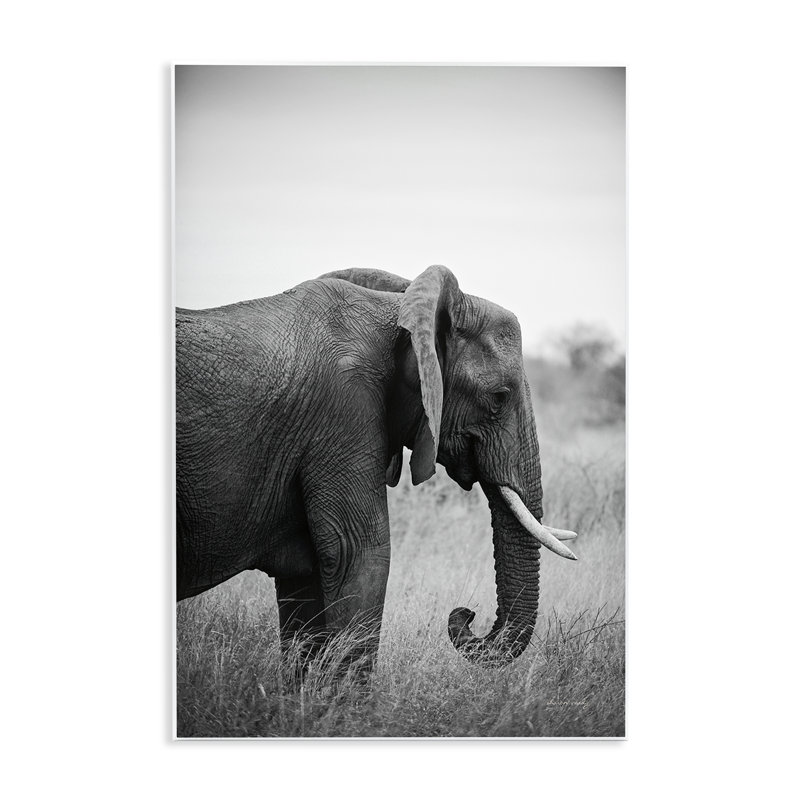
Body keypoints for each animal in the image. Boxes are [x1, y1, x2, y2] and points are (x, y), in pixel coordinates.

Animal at [176, 265, 578, 672]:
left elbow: (306, 575)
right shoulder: (342, 411)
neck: (398, 314)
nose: (466, 614)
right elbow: (359, 554)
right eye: (499, 397)